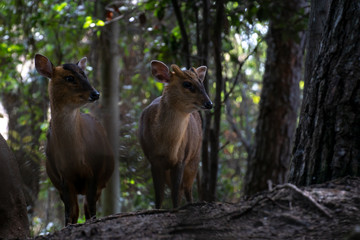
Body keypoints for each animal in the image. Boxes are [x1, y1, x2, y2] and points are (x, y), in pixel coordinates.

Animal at [34, 54, 114, 225]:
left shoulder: (94, 172)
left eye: (85, 74)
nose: (96, 93)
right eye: (69, 78)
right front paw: (67, 226)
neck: (73, 157)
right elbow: (70, 212)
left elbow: (90, 208)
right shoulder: (63, 177)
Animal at [138, 61, 211, 209]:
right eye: (187, 84)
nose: (209, 103)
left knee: (187, 189)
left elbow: (176, 194)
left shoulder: (181, 159)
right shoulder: (153, 160)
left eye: (201, 83)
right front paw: (157, 210)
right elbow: (159, 195)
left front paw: (176, 208)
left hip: (194, 158)